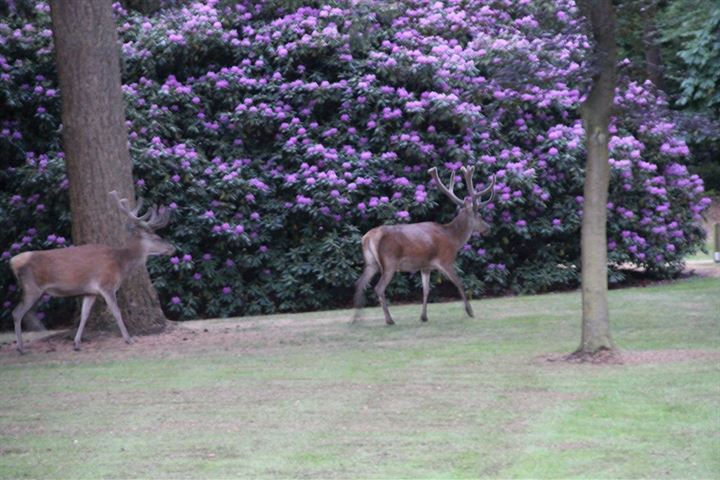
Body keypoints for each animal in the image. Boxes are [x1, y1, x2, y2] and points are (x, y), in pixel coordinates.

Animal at [9, 191, 174, 352]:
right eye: (156, 237)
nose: (172, 248)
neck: (120, 264)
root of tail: (13, 262)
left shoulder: (90, 292)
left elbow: (84, 315)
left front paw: (76, 344)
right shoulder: (106, 285)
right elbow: (117, 312)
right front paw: (129, 339)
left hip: (37, 291)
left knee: (27, 314)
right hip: (32, 288)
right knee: (17, 313)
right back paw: (21, 348)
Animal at [352, 166, 496, 326]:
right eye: (480, 216)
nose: (488, 228)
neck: (453, 238)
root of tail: (368, 237)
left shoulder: (425, 266)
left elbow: (426, 290)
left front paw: (423, 316)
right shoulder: (445, 260)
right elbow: (459, 283)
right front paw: (470, 311)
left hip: (372, 262)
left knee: (360, 283)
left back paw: (356, 319)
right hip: (389, 261)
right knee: (378, 288)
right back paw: (389, 320)